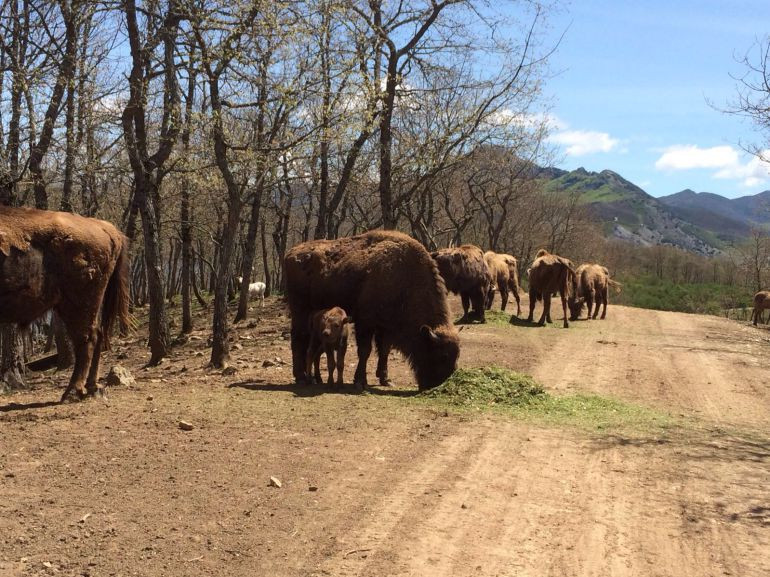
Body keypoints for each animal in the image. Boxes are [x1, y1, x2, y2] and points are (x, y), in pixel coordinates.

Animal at [0, 206, 130, 400]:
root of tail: (105, 226)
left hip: (78, 304)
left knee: (87, 339)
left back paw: (72, 392)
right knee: (95, 335)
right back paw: (91, 387)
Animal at [284, 231, 460, 392]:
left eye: (456, 356)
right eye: (442, 356)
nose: (435, 385)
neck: (405, 279)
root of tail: (290, 254)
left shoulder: (386, 328)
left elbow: (384, 350)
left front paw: (385, 379)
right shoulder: (365, 323)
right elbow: (365, 351)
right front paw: (360, 382)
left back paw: (312, 378)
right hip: (300, 311)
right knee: (298, 339)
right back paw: (301, 377)